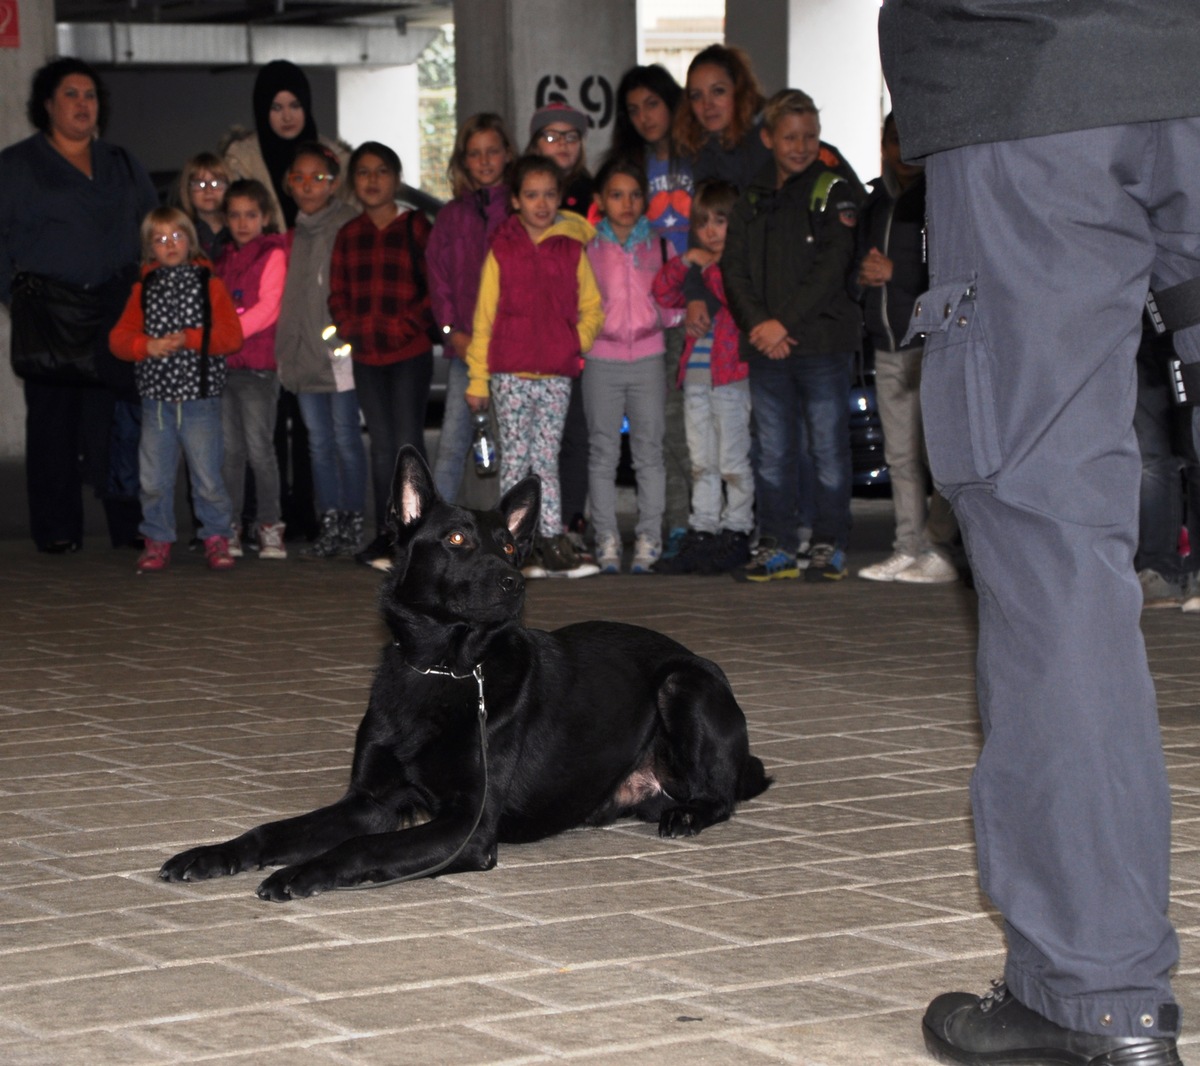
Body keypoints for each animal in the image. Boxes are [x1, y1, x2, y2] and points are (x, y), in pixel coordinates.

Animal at [159, 444, 768, 897]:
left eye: (510, 547)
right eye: (456, 540)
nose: (515, 582)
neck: (442, 672)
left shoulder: (465, 826)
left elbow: (360, 847)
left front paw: (302, 871)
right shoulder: (369, 803)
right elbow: (276, 829)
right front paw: (213, 854)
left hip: (682, 683)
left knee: (722, 795)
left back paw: (690, 814)